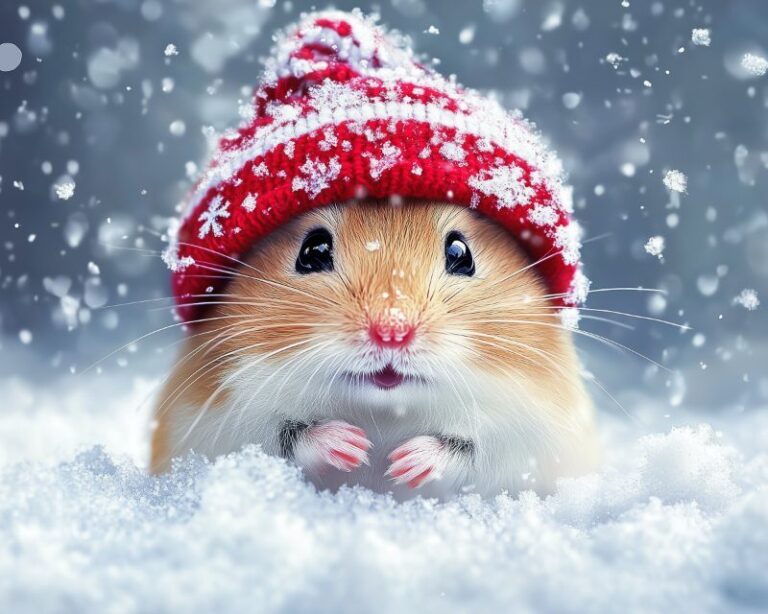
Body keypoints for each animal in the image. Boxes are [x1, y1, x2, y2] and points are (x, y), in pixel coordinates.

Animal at [150, 200, 600, 499]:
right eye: (313, 250)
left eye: (460, 253)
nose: (392, 332)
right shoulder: (219, 421)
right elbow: (287, 433)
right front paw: (354, 447)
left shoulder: (527, 433)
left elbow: (467, 448)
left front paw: (403, 463)